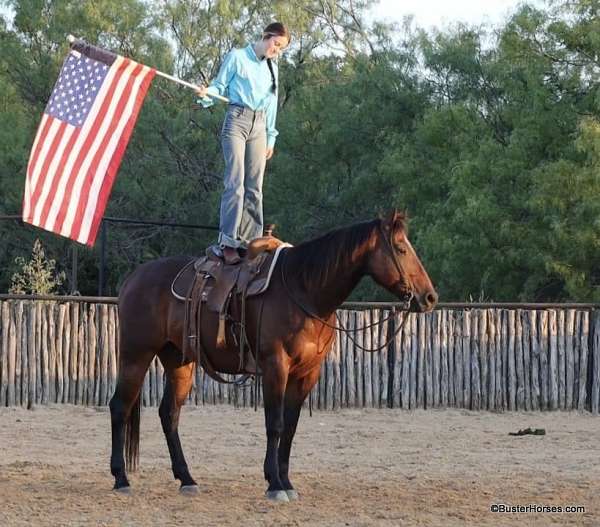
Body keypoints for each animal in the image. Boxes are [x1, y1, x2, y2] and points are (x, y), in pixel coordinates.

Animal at [109, 210, 436, 504]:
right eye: (401, 248)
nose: (430, 297)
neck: (305, 291)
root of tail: (133, 278)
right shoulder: (275, 366)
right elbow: (275, 423)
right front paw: (275, 485)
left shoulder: (307, 373)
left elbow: (290, 427)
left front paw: (286, 481)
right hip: (135, 355)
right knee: (120, 407)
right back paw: (121, 479)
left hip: (179, 362)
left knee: (169, 414)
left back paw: (187, 479)